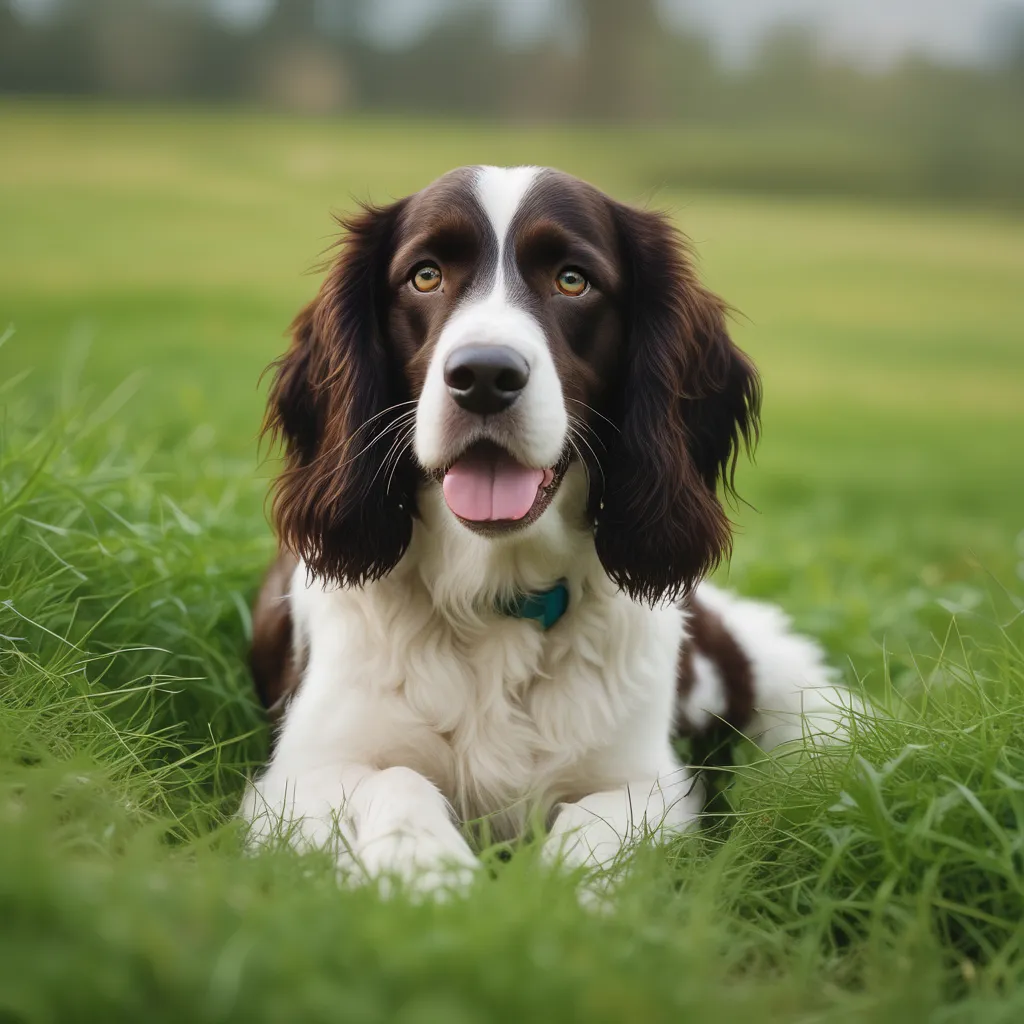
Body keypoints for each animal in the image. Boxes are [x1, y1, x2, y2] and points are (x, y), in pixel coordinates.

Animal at [239, 163, 847, 892]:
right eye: (424, 275)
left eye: (572, 280)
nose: (484, 375)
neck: (495, 600)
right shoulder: (298, 775)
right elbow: (399, 781)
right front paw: (429, 879)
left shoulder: (654, 783)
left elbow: (595, 823)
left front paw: (554, 898)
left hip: (795, 688)